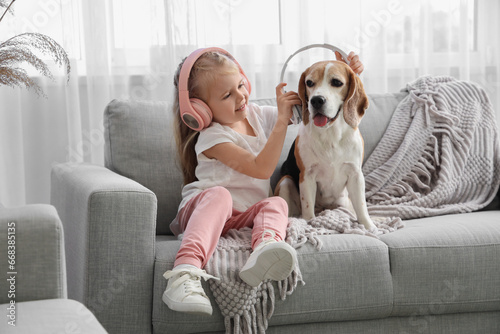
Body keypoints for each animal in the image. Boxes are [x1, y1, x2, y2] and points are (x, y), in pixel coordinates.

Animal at [278, 60, 376, 231]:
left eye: (336, 82)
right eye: (309, 83)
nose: (316, 100)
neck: (331, 134)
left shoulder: (355, 175)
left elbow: (362, 205)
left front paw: (368, 226)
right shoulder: (307, 176)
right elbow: (308, 207)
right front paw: (310, 224)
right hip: (285, 181)